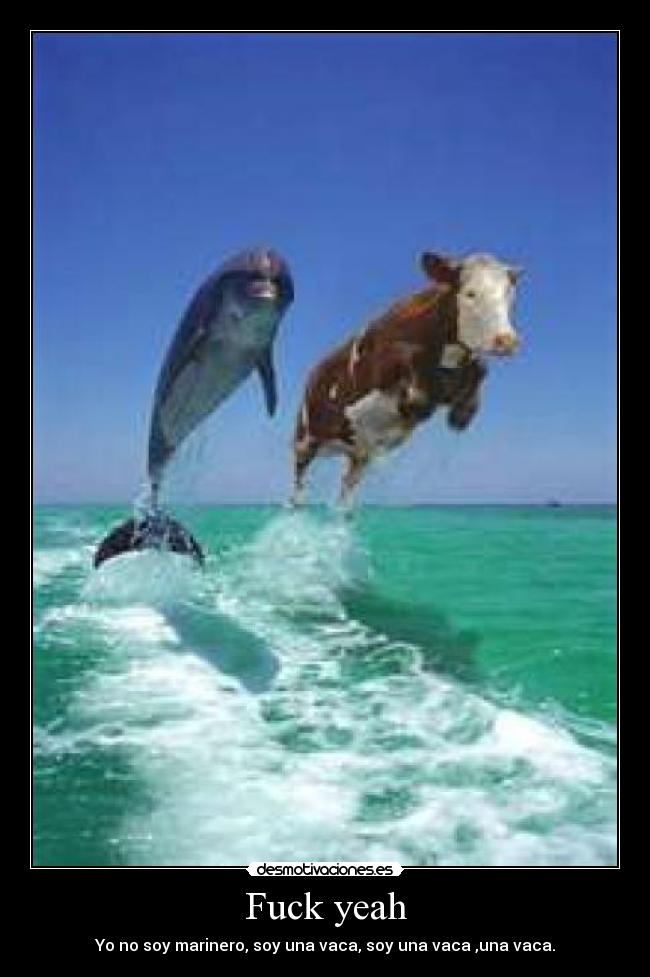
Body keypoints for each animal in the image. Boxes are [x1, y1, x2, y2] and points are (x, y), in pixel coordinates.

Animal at [292, 251, 522, 507]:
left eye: (509, 296)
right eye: (470, 293)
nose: (507, 340)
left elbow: (481, 368)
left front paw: (463, 414)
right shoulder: (379, 365)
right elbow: (406, 355)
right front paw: (414, 403)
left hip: (359, 452)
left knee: (347, 487)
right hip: (305, 438)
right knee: (299, 482)